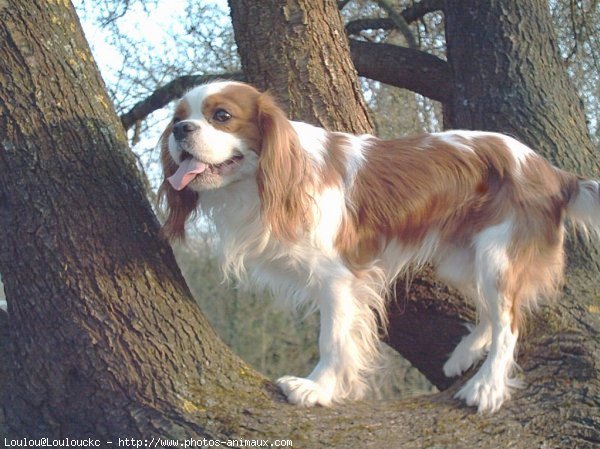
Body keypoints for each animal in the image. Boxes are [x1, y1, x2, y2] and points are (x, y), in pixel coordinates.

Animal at [158, 81, 600, 412]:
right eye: (179, 118)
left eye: (221, 115)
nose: (180, 131)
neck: (272, 179)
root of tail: (553, 172)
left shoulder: (339, 277)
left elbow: (333, 338)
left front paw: (317, 389)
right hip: (462, 259)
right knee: (493, 313)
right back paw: (464, 354)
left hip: (497, 256)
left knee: (509, 321)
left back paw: (487, 387)